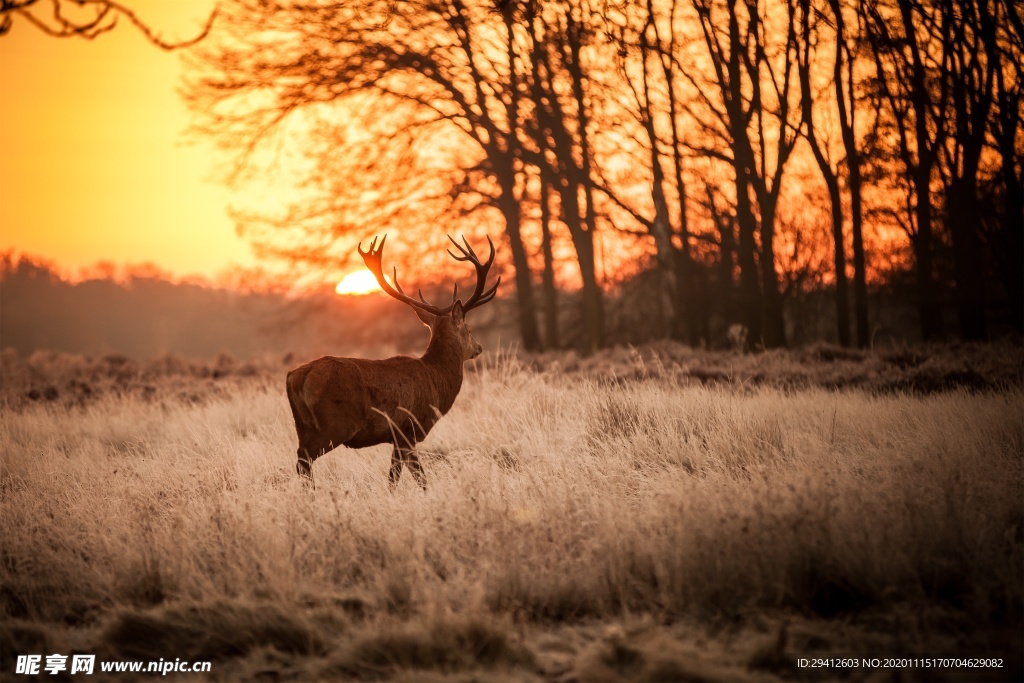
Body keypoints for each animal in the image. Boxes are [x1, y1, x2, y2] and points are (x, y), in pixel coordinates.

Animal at [284, 235, 499, 491]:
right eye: (469, 329)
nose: (479, 348)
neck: (436, 380)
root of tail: (296, 377)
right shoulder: (409, 428)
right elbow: (410, 477)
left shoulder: (399, 436)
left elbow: (401, 477)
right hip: (336, 423)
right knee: (304, 458)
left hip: (302, 424)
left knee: (301, 458)